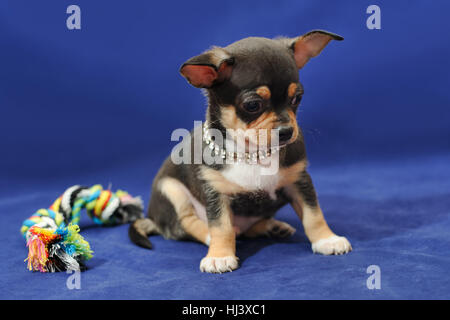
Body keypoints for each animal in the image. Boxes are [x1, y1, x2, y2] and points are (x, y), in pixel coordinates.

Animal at [129, 30, 352, 274]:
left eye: (296, 99)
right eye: (253, 105)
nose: (287, 131)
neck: (253, 154)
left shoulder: (299, 181)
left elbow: (314, 215)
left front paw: (326, 239)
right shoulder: (216, 193)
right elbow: (221, 226)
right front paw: (219, 255)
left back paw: (272, 227)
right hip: (170, 189)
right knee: (186, 223)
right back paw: (211, 237)